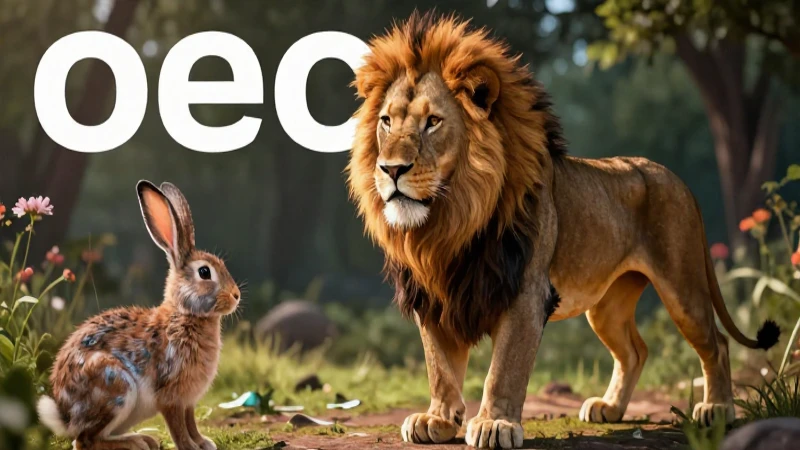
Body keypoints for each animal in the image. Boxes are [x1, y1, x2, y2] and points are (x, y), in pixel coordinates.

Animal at [37, 181, 241, 450]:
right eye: (205, 272)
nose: (236, 295)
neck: (184, 314)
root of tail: (65, 416)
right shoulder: (170, 395)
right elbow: (178, 427)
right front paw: (189, 447)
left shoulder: (188, 400)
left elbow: (191, 423)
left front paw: (203, 443)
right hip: (114, 386)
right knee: (84, 441)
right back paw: (137, 443)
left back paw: (143, 439)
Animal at [346, 11, 779, 449]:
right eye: (386, 122)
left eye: (433, 122)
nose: (391, 170)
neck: (448, 223)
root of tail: (675, 178)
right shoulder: (434, 294)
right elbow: (439, 366)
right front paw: (438, 419)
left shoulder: (526, 291)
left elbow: (504, 367)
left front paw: (494, 423)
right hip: (605, 305)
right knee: (635, 350)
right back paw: (610, 408)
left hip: (682, 286)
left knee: (716, 343)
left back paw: (717, 409)